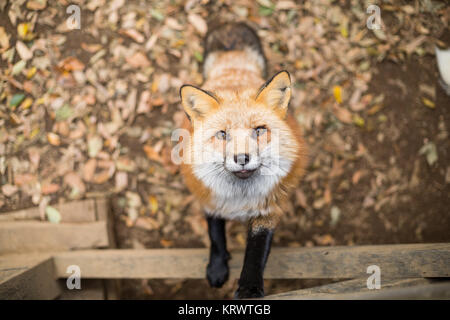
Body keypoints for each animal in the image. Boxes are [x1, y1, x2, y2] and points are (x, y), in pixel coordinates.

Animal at [178, 23, 308, 300]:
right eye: (222, 135)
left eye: (258, 130)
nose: (241, 158)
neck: (240, 198)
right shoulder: (210, 199)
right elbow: (215, 235)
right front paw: (217, 268)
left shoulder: (268, 211)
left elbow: (256, 253)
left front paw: (249, 289)